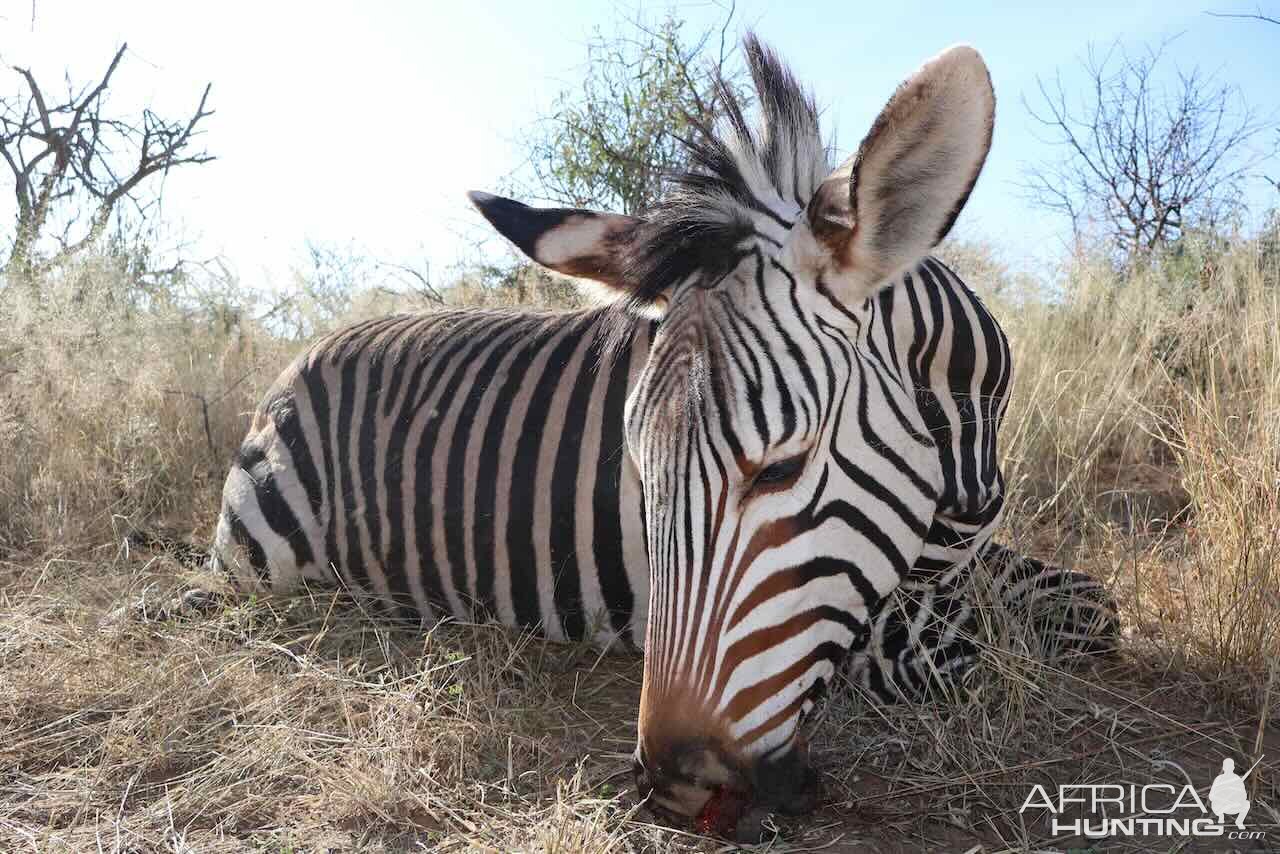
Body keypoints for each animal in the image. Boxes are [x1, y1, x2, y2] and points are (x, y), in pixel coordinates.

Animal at [192, 35, 1121, 834]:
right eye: (638, 476)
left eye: (781, 468)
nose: (680, 788)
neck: (956, 460)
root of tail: (307, 351)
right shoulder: (883, 621)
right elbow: (1005, 650)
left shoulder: (954, 560)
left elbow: (1084, 601)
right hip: (274, 564)